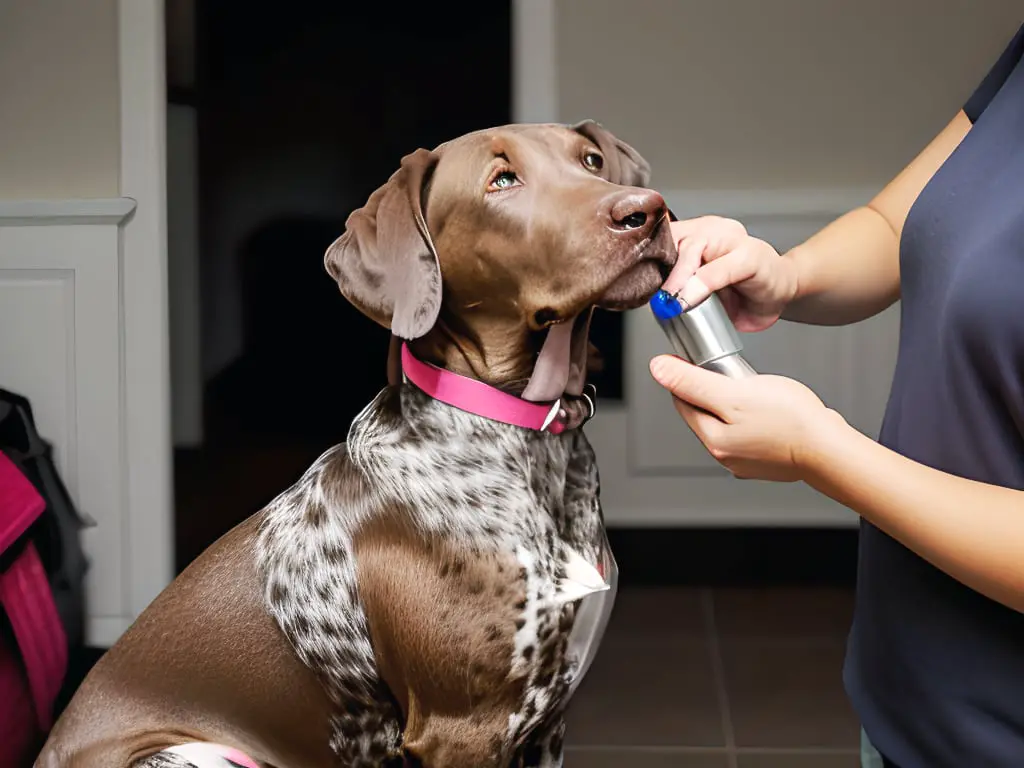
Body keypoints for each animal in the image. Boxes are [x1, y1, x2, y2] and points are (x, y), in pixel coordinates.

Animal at [37, 120, 679, 768]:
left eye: (592, 161)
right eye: (502, 181)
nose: (647, 212)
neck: (529, 440)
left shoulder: (548, 722)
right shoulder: (464, 729)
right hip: (200, 754)